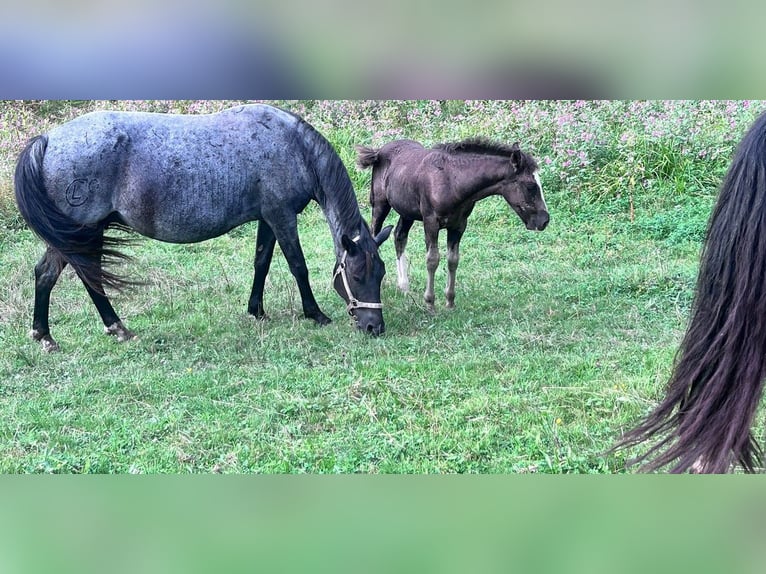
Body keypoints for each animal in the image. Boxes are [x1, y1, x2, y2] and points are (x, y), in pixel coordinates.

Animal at [15, 106, 392, 354]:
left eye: (382, 273)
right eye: (357, 275)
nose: (374, 327)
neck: (293, 147)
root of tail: (47, 139)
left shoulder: (268, 219)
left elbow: (261, 263)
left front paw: (256, 310)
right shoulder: (282, 216)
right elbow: (298, 266)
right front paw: (315, 314)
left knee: (50, 274)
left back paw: (47, 335)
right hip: (82, 230)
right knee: (77, 275)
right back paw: (109, 329)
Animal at [356, 139, 548, 310]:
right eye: (531, 186)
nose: (544, 220)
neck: (452, 181)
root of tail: (379, 151)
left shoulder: (459, 225)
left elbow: (453, 260)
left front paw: (450, 301)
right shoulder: (430, 222)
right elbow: (432, 259)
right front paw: (430, 303)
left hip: (406, 211)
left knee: (399, 237)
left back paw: (404, 286)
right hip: (380, 204)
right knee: (376, 233)